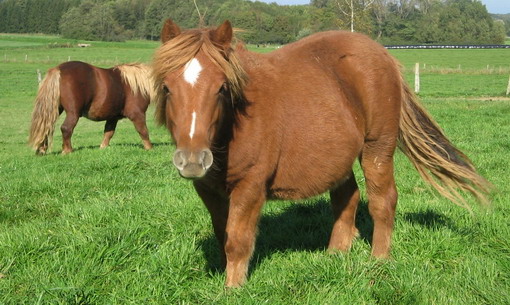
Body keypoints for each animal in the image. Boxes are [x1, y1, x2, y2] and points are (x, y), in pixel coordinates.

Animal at [28, 60, 159, 154]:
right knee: (66, 128)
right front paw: (149, 148)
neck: (138, 84)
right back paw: (67, 151)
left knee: (46, 127)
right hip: (73, 113)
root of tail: (58, 69)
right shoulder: (137, 114)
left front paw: (103, 147)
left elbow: (108, 132)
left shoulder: (113, 117)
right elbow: (143, 131)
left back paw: (41, 150)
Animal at [150, 20, 490, 286]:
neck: (233, 126)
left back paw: (379, 259)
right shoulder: (208, 190)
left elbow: (237, 240)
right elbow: (223, 235)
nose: (192, 160)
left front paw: (232, 288)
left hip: (377, 148)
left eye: (221, 88)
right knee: (347, 197)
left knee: (382, 201)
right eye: (166, 88)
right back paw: (336, 254)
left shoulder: (250, 187)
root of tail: (382, 53)